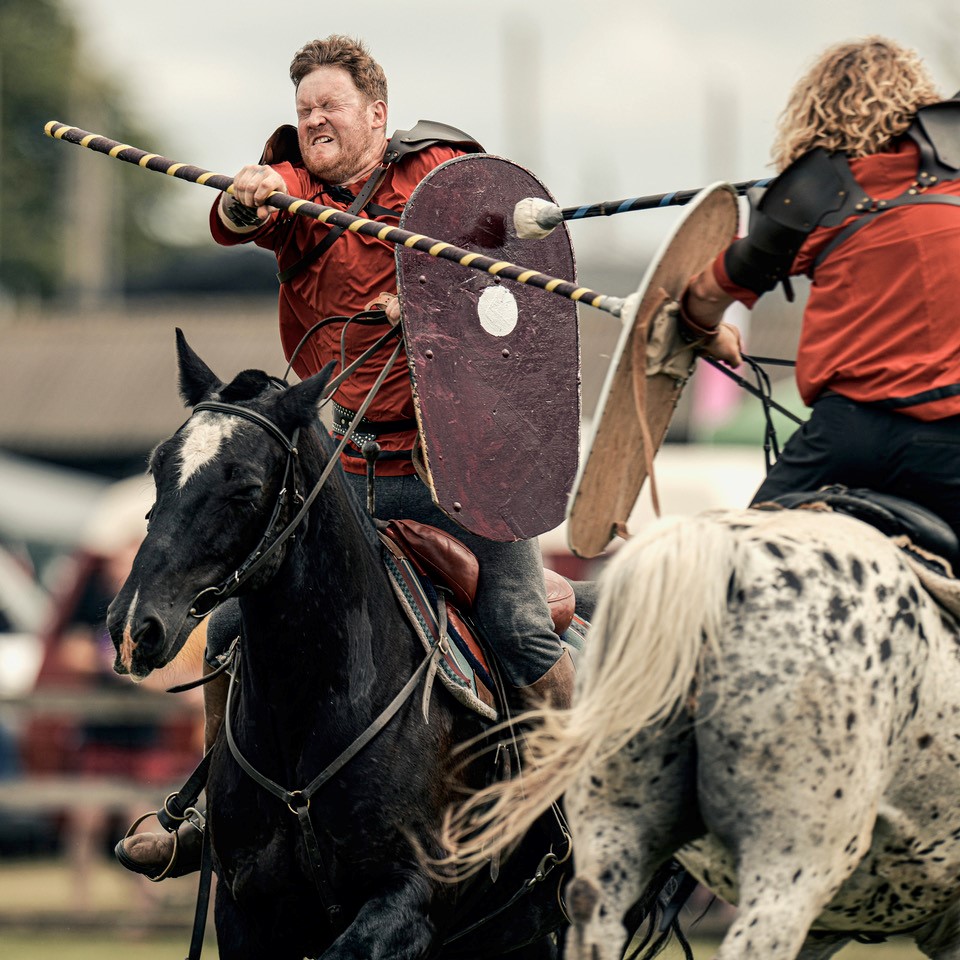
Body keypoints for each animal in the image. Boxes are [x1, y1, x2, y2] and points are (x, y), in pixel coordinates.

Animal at [109, 332, 580, 960]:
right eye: (160, 466)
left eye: (247, 488)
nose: (133, 626)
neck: (320, 698)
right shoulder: (244, 912)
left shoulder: (409, 901)